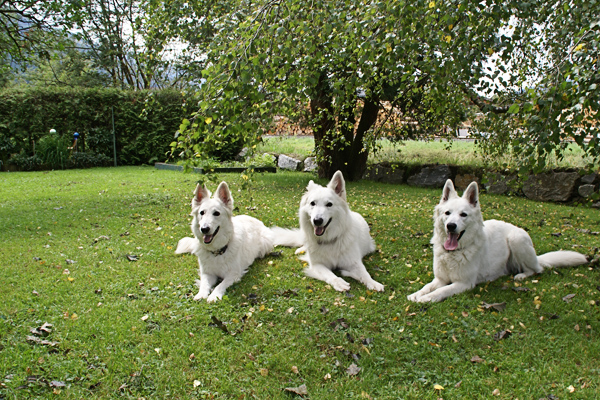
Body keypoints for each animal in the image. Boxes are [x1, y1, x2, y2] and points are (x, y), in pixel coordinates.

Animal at [406, 180, 588, 302]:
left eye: (463, 215)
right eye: (447, 213)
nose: (451, 226)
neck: (454, 253)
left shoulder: (463, 283)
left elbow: (441, 291)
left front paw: (426, 299)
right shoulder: (440, 279)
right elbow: (427, 287)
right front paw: (416, 294)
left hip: (517, 240)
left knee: (537, 270)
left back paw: (521, 275)